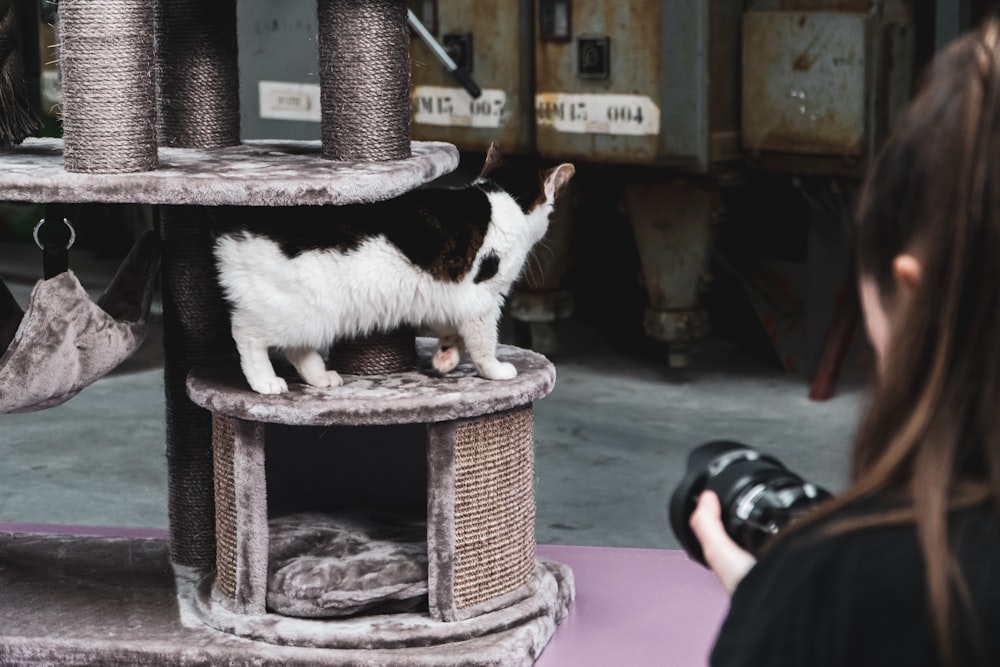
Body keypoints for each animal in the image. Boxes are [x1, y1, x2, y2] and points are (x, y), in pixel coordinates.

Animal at [215, 145, 576, 394]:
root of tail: (237, 224)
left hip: (314, 316)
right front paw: (495, 371)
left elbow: (453, 331)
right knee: (245, 332)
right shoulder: (482, 301)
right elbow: (484, 344)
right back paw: (265, 381)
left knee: (296, 347)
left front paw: (445, 357)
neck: (503, 200)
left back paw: (320, 377)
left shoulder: (445, 297)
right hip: (293, 310)